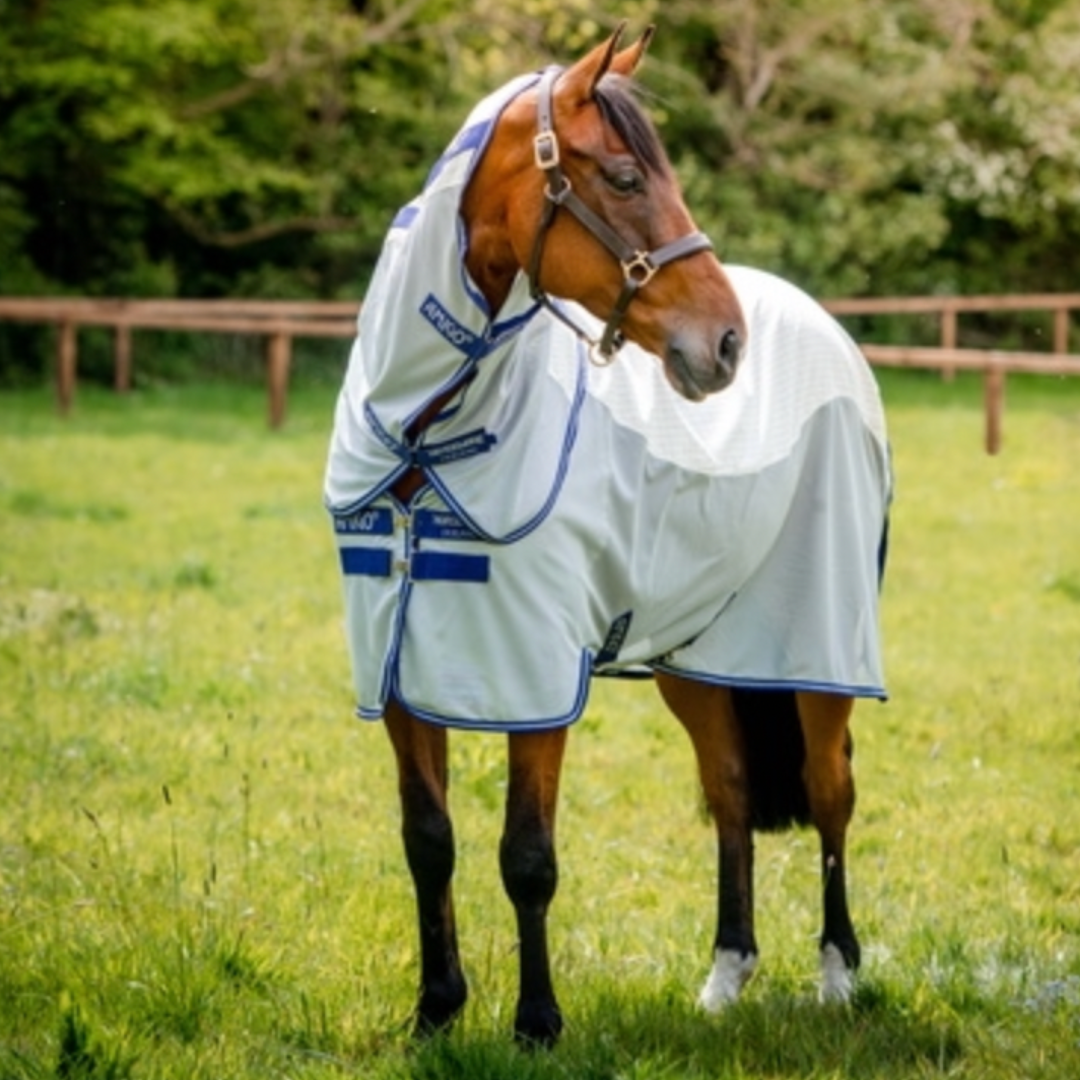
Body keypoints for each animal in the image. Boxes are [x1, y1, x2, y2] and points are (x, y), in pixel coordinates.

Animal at [324, 23, 890, 1046]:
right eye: (626, 178)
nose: (726, 344)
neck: (424, 437)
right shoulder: (399, 674)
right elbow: (429, 842)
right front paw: (436, 1010)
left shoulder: (533, 676)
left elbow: (527, 854)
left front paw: (537, 1024)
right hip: (699, 662)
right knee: (731, 791)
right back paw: (724, 978)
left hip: (820, 656)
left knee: (831, 794)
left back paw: (837, 976)